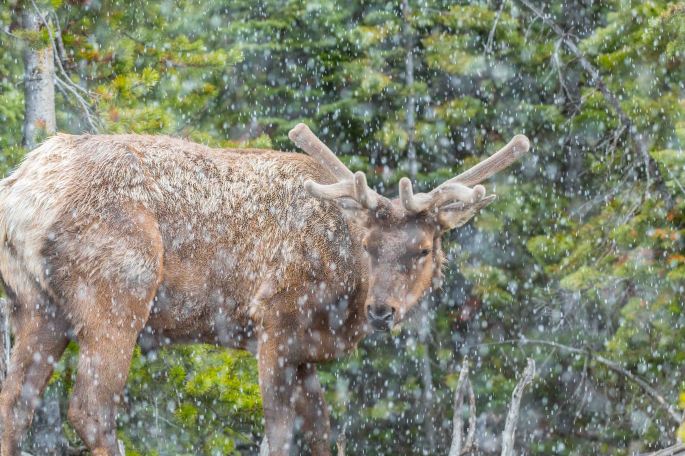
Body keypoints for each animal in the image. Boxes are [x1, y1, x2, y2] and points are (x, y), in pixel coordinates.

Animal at [0, 123, 529, 456]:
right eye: (368, 244)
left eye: (422, 249)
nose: (381, 311)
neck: (340, 300)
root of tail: (22, 192)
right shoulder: (275, 320)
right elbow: (279, 435)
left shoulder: (306, 353)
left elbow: (320, 434)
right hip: (117, 291)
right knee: (90, 409)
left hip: (37, 305)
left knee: (15, 406)